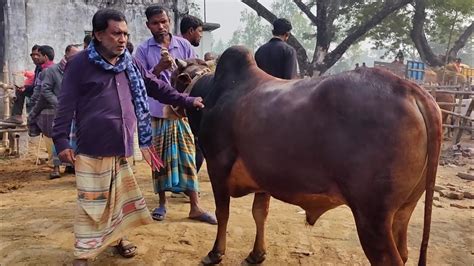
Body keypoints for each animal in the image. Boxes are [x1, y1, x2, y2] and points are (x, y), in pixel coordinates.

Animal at [176, 46, 442, 266]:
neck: (215, 92)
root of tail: (412, 90)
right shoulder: (263, 176)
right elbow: (260, 214)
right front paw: (256, 254)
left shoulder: (217, 164)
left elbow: (223, 213)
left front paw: (215, 253)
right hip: (404, 209)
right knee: (404, 251)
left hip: (372, 217)